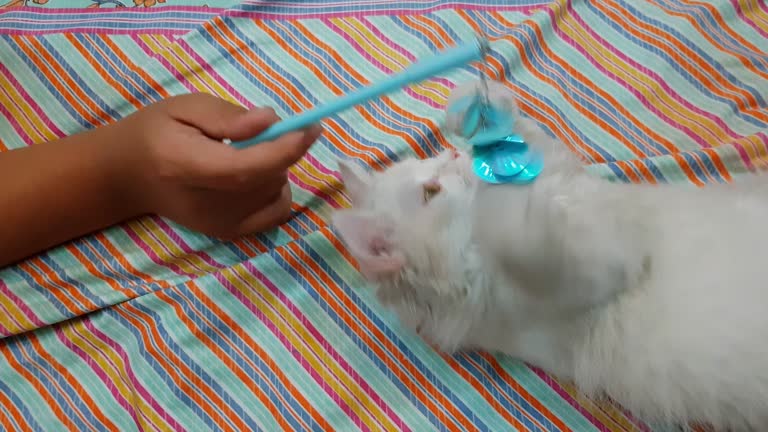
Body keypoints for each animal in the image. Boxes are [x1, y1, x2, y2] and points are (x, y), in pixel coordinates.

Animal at [332, 82, 768, 432]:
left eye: (427, 162)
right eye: (430, 192)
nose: (453, 157)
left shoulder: (568, 178)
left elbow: (537, 140)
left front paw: (471, 106)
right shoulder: (589, 270)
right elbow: (511, 230)